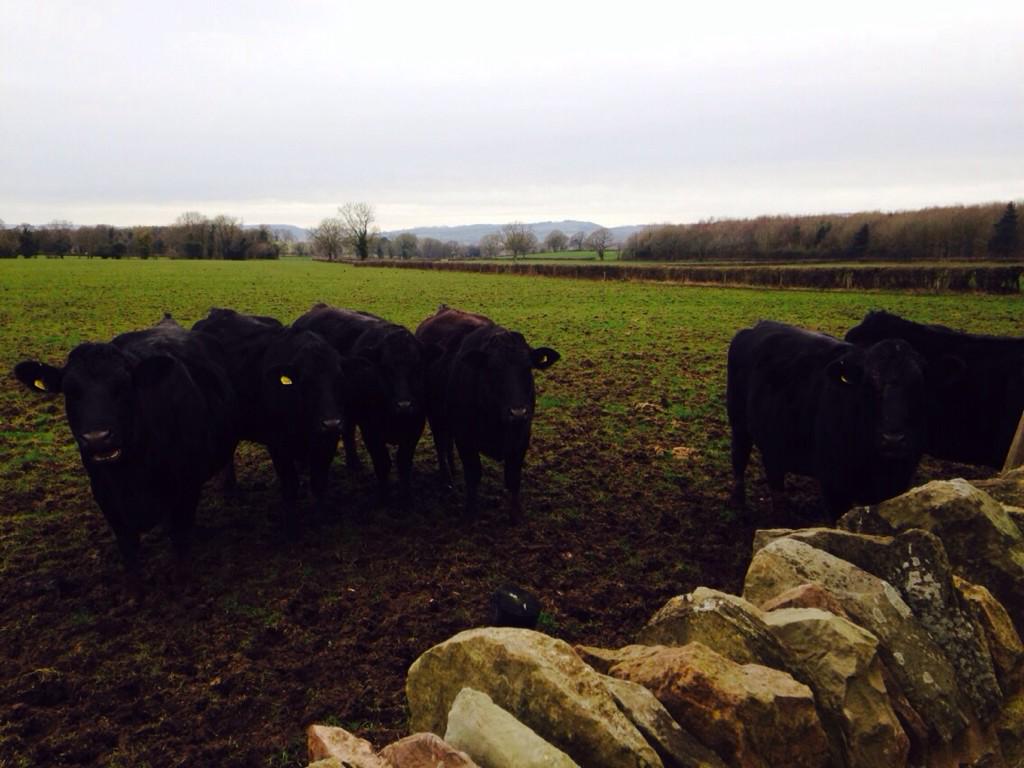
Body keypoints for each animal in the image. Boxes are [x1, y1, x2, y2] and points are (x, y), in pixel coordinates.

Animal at [13, 314, 238, 590]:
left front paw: (181, 583)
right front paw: (137, 590)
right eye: (70, 391)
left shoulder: (186, 487)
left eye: (122, 386)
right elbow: (129, 551)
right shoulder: (106, 497)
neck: (131, 472)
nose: (97, 438)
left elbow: (180, 541)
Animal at [192, 308, 345, 530]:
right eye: (305, 381)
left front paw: (320, 520)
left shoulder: (327, 442)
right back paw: (229, 488)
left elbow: (319, 482)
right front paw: (290, 525)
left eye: (339, 378)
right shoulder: (278, 444)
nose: (331, 423)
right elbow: (290, 484)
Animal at [292, 304, 437, 510]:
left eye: (417, 366)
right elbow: (383, 463)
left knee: (348, 431)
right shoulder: (371, 430)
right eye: (385, 367)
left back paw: (354, 464)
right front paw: (384, 499)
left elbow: (403, 462)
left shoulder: (415, 426)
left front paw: (406, 498)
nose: (404, 404)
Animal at [415, 305, 560, 522]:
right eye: (493, 369)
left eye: (528, 368)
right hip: (434, 415)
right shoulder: (465, 437)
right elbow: (474, 474)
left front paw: (515, 515)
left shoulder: (522, 435)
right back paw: (447, 479)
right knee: (441, 443)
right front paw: (471, 512)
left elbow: (513, 477)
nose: (517, 412)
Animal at [727, 320, 927, 518]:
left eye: (918, 385)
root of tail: (759, 326)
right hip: (739, 423)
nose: (893, 440)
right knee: (739, 456)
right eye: (868, 384)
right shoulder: (833, 484)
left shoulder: (898, 483)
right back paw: (738, 502)